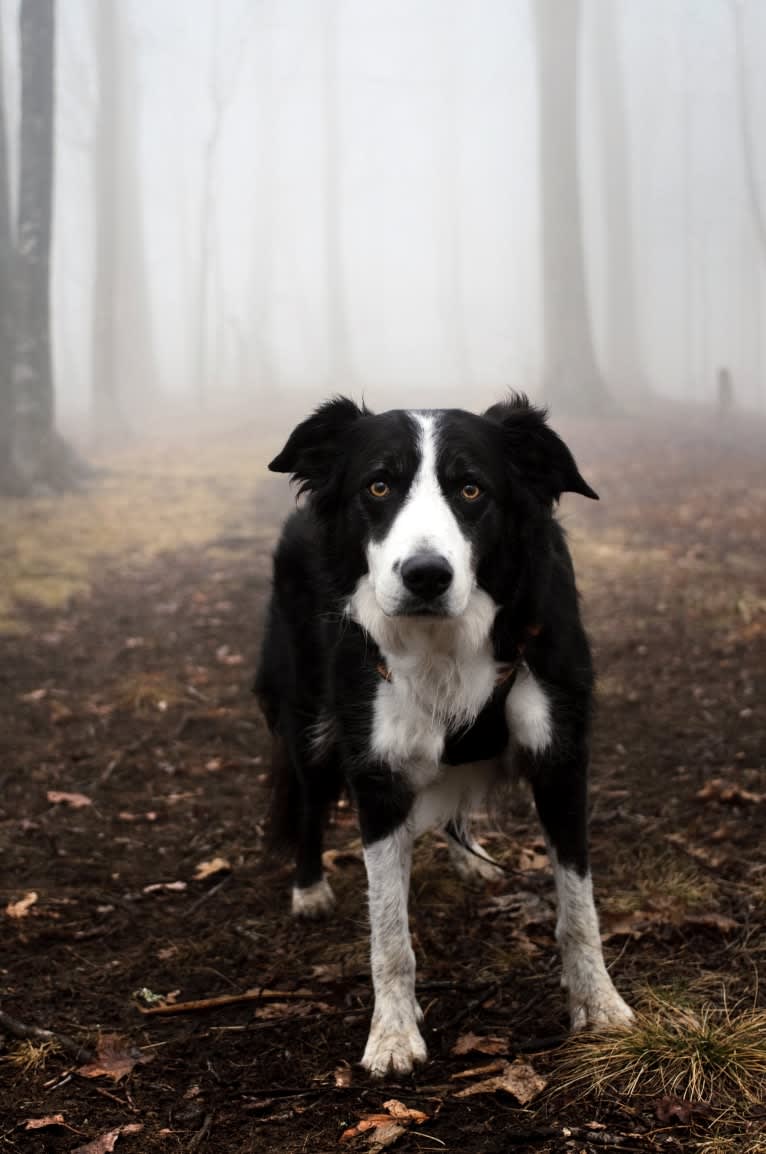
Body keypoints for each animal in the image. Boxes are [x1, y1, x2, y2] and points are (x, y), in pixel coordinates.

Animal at [253, 399, 632, 1080]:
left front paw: (599, 1005)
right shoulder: (375, 772)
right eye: (378, 485)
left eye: (472, 488)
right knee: (310, 799)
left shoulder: (562, 757)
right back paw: (309, 889)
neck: (447, 644)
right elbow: (389, 936)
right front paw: (393, 1035)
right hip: (308, 719)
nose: (426, 576)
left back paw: (467, 853)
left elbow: (579, 907)